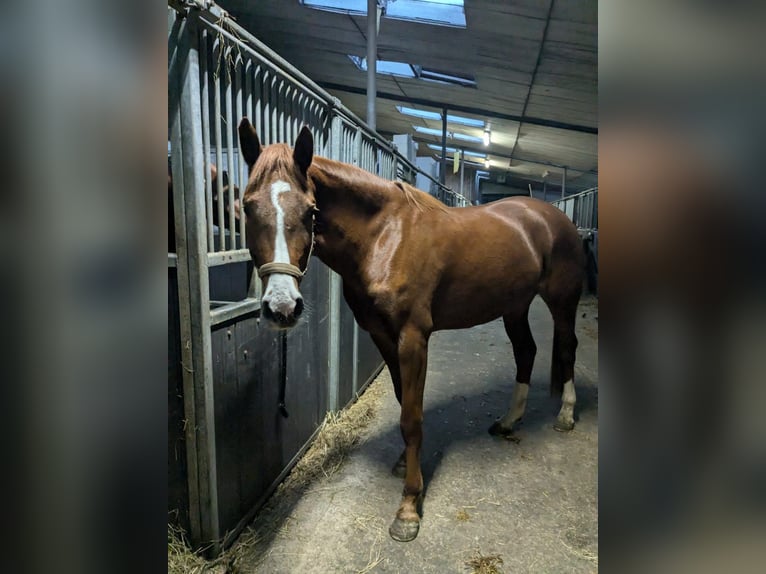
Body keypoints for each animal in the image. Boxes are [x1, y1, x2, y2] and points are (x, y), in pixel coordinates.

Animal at [237, 118, 584, 544]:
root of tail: (554, 217)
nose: (282, 307)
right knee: (526, 352)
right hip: (514, 306)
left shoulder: (413, 339)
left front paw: (408, 510)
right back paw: (507, 422)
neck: (385, 237)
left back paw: (565, 415)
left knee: (566, 347)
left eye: (310, 210)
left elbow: (412, 419)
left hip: (562, 302)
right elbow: (405, 402)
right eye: (247, 206)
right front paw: (405, 464)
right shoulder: (384, 338)